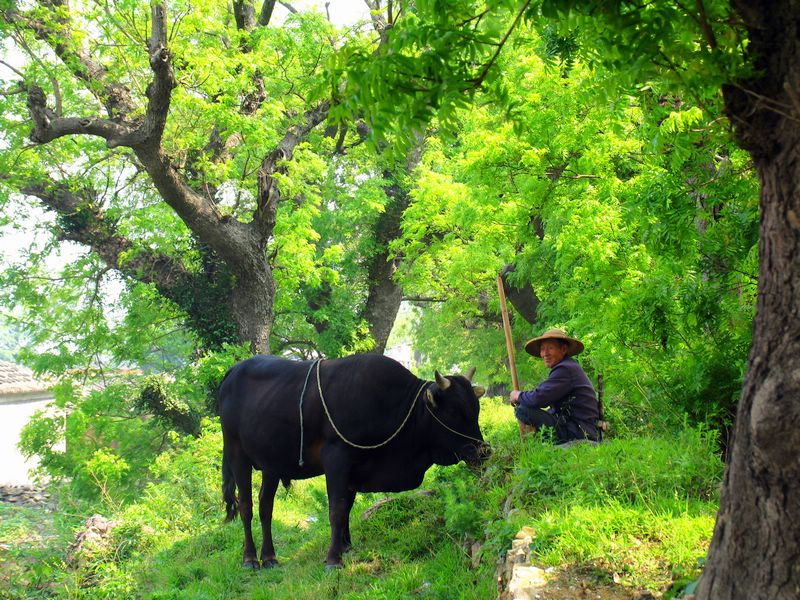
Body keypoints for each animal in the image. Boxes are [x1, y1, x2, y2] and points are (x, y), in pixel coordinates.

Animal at [219, 354, 488, 568]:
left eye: (476, 409)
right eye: (453, 411)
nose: (483, 451)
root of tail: (232, 372)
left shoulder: (355, 467)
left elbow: (347, 505)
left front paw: (345, 546)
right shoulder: (337, 458)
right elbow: (337, 509)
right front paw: (333, 558)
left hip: (271, 465)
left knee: (266, 506)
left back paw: (270, 557)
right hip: (237, 454)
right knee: (246, 506)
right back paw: (250, 558)